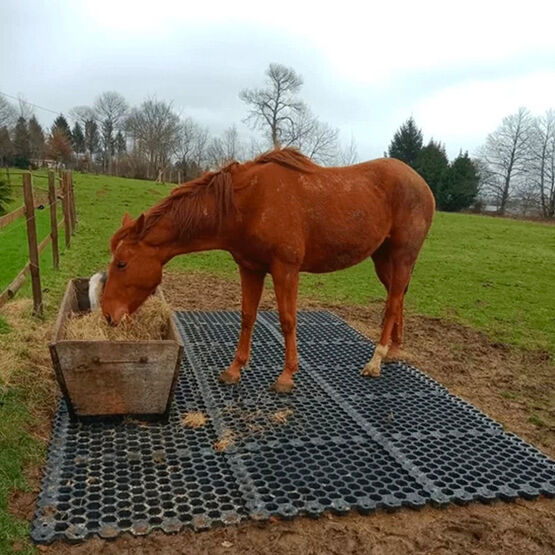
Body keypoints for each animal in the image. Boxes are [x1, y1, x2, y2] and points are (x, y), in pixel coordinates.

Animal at [102, 147, 436, 390]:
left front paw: (287, 375)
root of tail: (422, 184)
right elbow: (247, 317)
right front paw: (234, 369)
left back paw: (376, 360)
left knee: (392, 303)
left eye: (122, 263)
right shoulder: (250, 268)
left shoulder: (285, 269)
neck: (247, 203)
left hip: (403, 256)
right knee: (398, 297)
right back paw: (393, 351)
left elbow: (287, 320)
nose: (107, 314)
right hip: (383, 259)